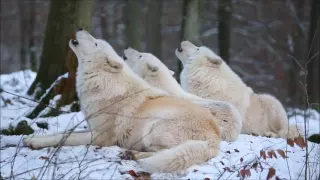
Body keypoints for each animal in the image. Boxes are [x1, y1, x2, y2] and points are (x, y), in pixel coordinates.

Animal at [23, 30, 221, 174]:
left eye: (95, 43)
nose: (80, 29)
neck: (102, 82)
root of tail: (215, 138)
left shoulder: (99, 137)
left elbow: (64, 138)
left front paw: (35, 143)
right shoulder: (91, 126)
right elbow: (63, 132)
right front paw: (32, 138)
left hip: (152, 128)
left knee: (163, 153)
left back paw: (134, 154)